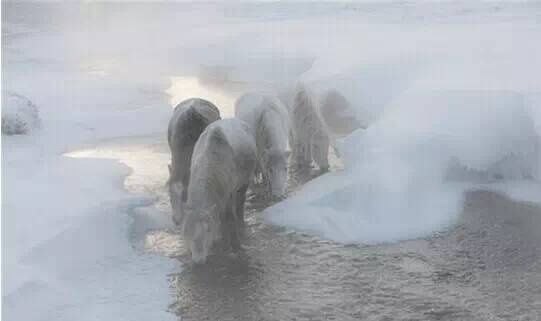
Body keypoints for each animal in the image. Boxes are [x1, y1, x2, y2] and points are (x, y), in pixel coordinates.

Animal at [182, 117, 256, 262]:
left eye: (208, 230)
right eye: (187, 231)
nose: (198, 260)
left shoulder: (227, 195)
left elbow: (230, 219)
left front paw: (235, 247)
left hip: (243, 183)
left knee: (240, 203)